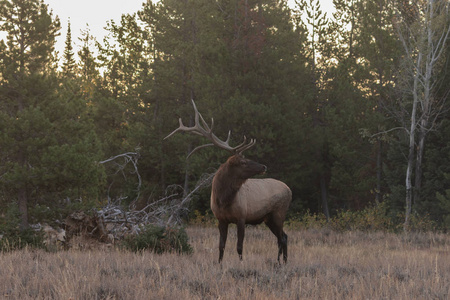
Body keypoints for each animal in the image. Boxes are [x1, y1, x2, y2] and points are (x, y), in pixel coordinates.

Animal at [165, 100, 292, 262]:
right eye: (243, 162)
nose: (264, 166)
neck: (223, 199)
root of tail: (289, 189)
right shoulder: (221, 219)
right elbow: (221, 246)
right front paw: (219, 263)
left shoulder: (242, 217)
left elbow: (239, 247)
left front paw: (241, 263)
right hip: (269, 218)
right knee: (283, 237)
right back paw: (282, 261)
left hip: (279, 213)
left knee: (282, 238)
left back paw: (281, 261)